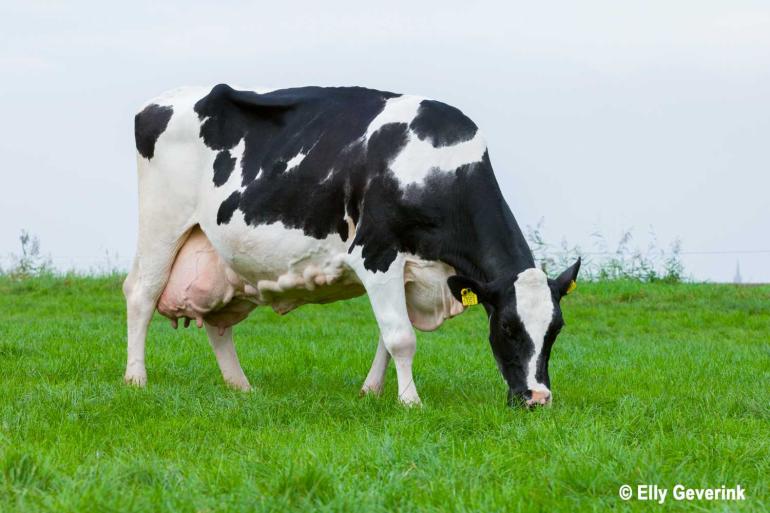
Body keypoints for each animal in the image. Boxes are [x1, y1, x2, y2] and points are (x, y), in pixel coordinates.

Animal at [124, 82, 576, 406]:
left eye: (556, 329)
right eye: (507, 327)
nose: (538, 399)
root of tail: (159, 102)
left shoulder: (407, 270)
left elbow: (387, 336)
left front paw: (372, 391)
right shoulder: (375, 252)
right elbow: (401, 337)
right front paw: (410, 402)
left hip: (222, 261)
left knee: (217, 324)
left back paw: (241, 387)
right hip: (161, 225)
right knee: (140, 295)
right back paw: (136, 379)